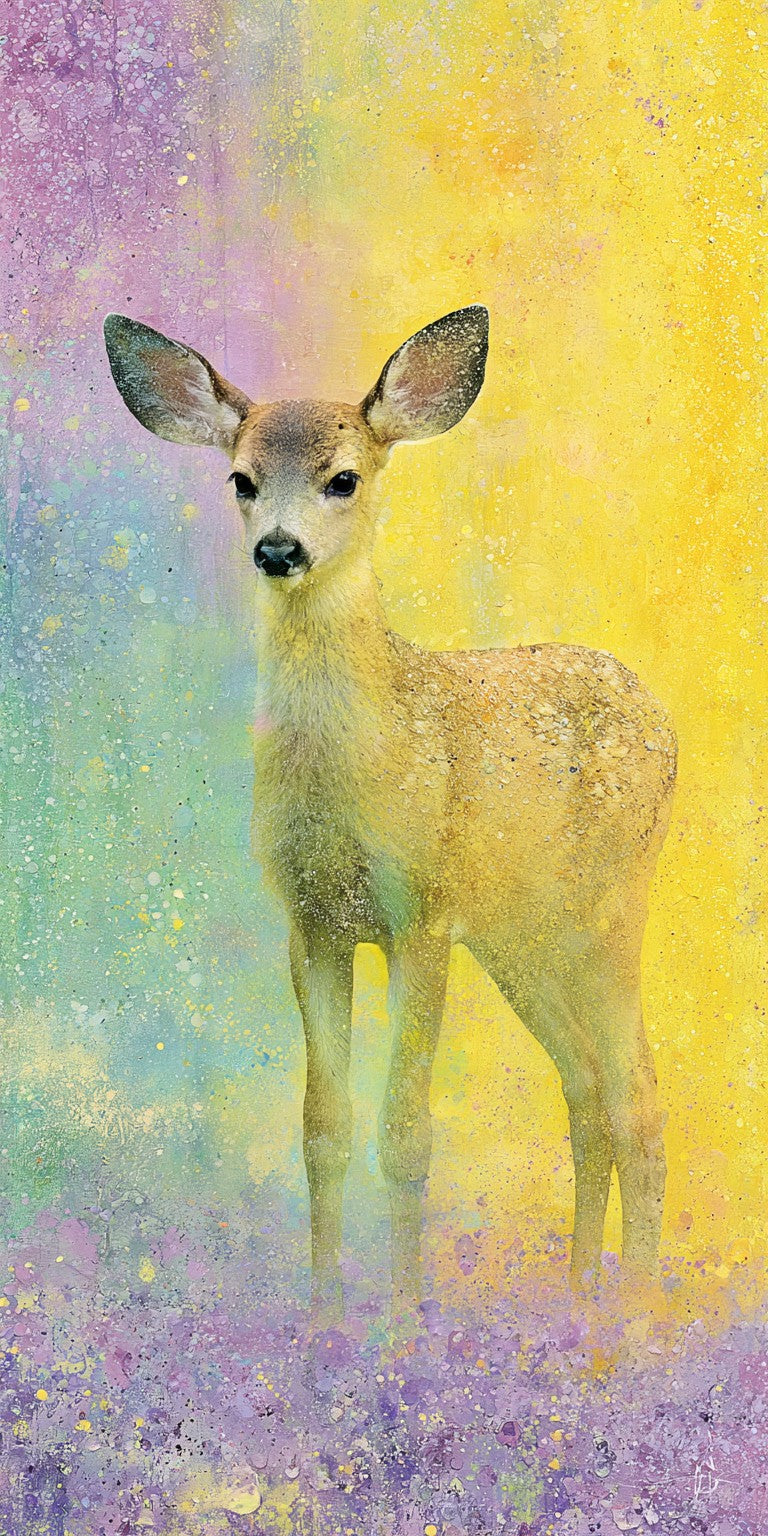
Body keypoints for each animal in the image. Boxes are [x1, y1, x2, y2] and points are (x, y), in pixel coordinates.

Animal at [103, 305, 677, 1323]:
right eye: (240, 479)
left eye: (344, 478)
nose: (278, 549)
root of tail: (663, 719)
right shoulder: (312, 925)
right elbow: (323, 1132)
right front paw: (327, 1314)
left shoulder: (423, 912)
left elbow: (406, 1136)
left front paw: (406, 1322)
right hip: (522, 940)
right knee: (584, 1087)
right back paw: (579, 1292)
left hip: (611, 909)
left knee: (639, 1098)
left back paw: (637, 1311)